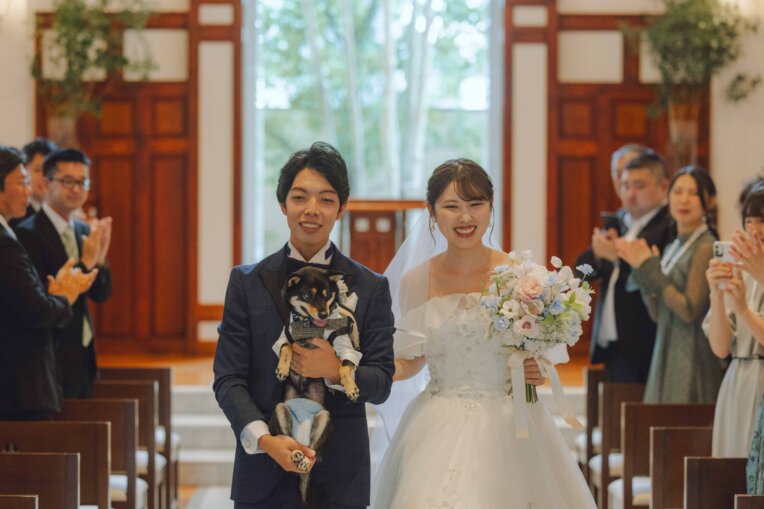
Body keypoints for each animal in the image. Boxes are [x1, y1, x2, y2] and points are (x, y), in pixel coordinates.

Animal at [270, 266, 361, 505]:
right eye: (307, 296)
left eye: (327, 295)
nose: (323, 314)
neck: (309, 327)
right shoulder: (284, 335)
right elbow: (285, 346)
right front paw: (282, 369)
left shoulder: (345, 347)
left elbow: (345, 365)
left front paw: (350, 388)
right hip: (281, 411)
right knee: (292, 445)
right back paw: (296, 455)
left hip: (324, 419)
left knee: (314, 451)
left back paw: (303, 458)